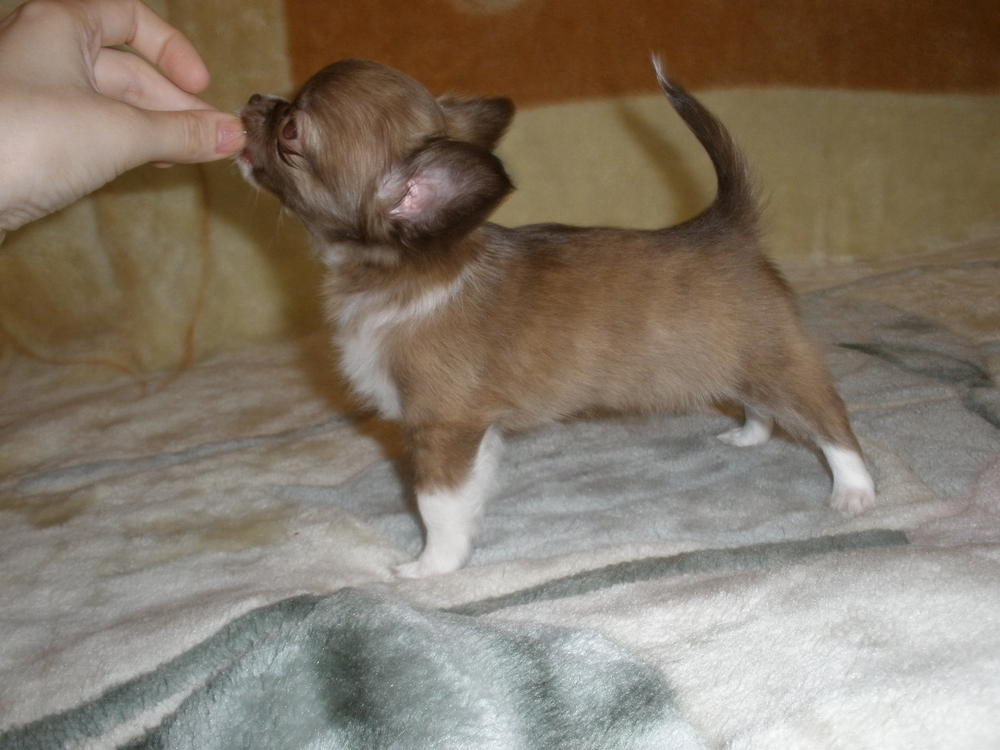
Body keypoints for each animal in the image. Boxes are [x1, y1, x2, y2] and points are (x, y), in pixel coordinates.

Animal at [238, 57, 876, 577]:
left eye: (291, 131)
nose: (252, 101)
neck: (409, 271)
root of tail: (724, 226)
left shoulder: (440, 427)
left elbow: (435, 506)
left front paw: (430, 567)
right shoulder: (474, 430)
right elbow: (471, 490)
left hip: (778, 362)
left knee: (829, 420)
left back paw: (854, 492)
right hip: (739, 361)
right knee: (763, 406)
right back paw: (748, 435)